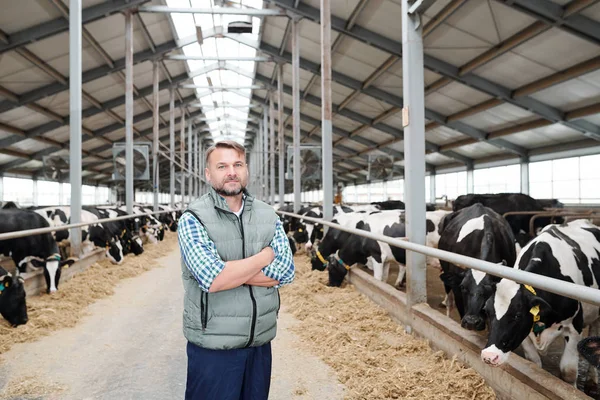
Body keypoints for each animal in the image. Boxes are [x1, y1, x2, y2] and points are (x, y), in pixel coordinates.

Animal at [480, 219, 600, 384]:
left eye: (517, 315)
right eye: (487, 311)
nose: (489, 356)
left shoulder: (575, 327)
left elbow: (568, 372)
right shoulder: (525, 331)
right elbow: (534, 363)